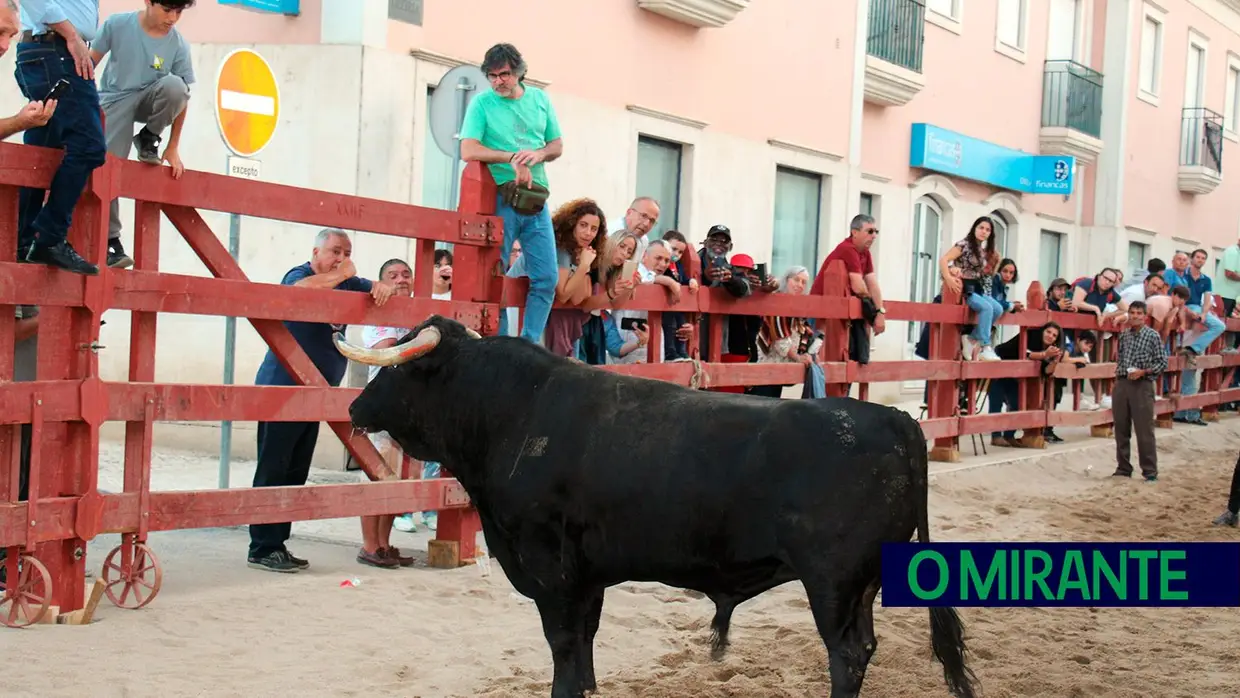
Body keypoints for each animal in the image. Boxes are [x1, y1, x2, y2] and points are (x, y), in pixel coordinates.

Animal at [337, 317, 977, 698]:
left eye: (400, 367)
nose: (354, 407)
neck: (512, 413)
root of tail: (893, 419)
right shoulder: (588, 577)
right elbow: (585, 644)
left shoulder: (551, 569)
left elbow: (563, 646)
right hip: (861, 584)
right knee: (863, 648)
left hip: (834, 582)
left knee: (845, 653)